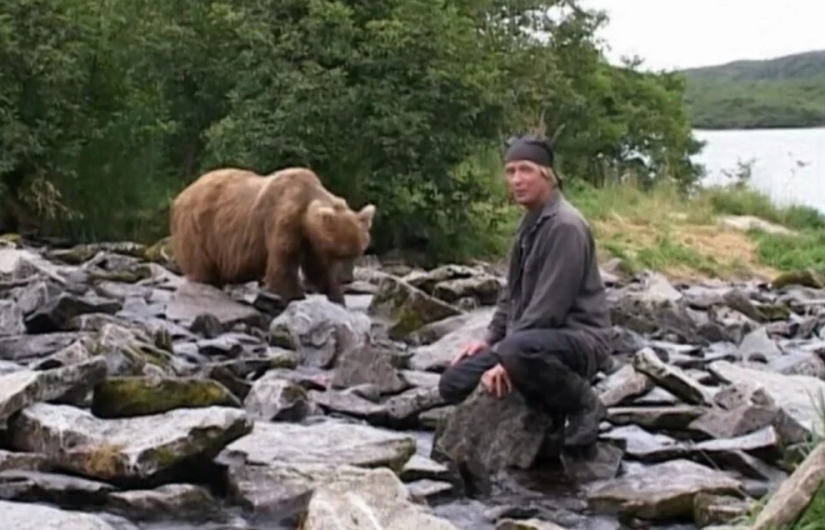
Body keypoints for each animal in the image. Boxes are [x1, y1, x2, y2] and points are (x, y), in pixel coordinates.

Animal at [169, 166, 376, 305]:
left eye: (357, 253)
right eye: (340, 253)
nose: (348, 279)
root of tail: (180, 196)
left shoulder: (310, 241)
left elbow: (318, 270)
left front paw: (336, 297)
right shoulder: (282, 222)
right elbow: (282, 267)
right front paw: (296, 296)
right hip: (200, 229)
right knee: (202, 268)